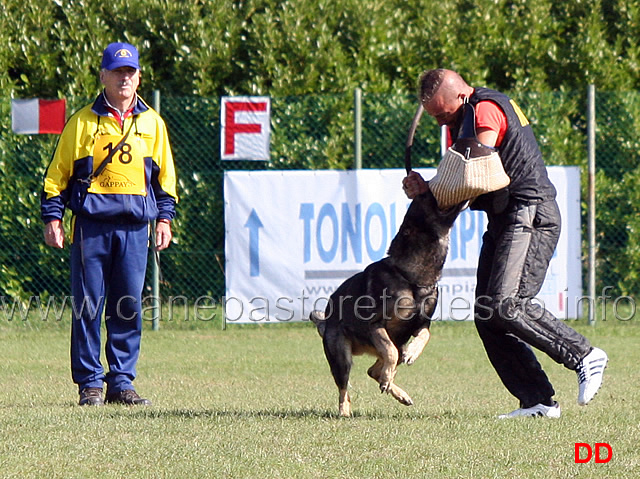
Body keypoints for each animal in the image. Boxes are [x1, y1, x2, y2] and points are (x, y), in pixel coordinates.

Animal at [308, 189, 460, 418]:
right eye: (425, 197)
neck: (410, 277)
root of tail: (325, 319)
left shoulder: (421, 324)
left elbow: (424, 337)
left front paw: (413, 353)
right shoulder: (376, 325)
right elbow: (390, 352)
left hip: (396, 340)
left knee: (376, 369)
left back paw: (398, 391)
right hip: (342, 357)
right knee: (345, 386)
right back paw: (345, 410)